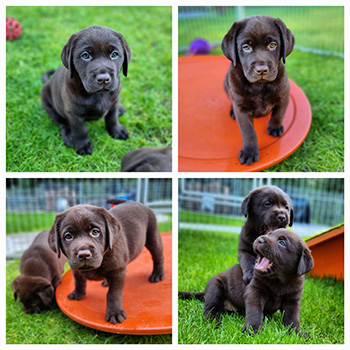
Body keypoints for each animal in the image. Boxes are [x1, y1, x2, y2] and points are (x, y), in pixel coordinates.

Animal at [41, 26, 131, 154]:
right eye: (85, 56)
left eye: (114, 54)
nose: (103, 79)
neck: (98, 95)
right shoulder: (73, 113)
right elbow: (81, 129)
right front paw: (83, 145)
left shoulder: (114, 103)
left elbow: (112, 118)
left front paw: (117, 131)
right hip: (48, 103)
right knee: (62, 124)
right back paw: (69, 136)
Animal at [221, 15, 296, 165]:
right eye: (246, 47)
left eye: (272, 45)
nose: (261, 70)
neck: (260, 86)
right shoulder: (241, 109)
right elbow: (248, 131)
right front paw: (249, 151)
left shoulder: (284, 97)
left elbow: (278, 114)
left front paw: (275, 128)